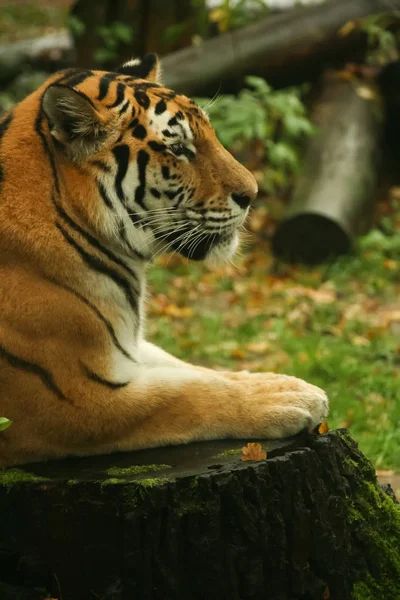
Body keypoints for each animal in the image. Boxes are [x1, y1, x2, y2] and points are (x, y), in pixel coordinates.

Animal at [0, 54, 326, 466]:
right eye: (180, 148)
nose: (252, 194)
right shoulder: (71, 398)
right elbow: (183, 394)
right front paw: (288, 399)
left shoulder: (127, 347)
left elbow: (194, 370)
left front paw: (279, 381)